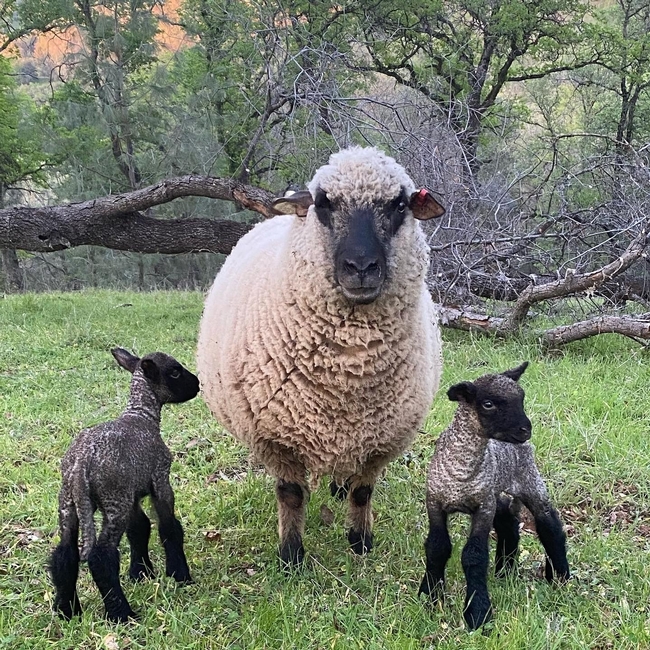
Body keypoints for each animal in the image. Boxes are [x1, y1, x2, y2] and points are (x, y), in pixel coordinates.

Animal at [49, 346, 197, 620]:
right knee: (101, 556)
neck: (142, 414)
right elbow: (169, 527)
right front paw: (179, 574)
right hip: (113, 499)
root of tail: (81, 464)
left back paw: (67, 610)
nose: (197, 384)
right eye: (174, 371)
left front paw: (141, 573)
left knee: (65, 553)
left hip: (69, 503)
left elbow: (139, 528)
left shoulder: (133, 493)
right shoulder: (160, 480)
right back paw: (121, 614)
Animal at [195, 147, 442, 568]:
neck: (350, 368)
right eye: (324, 203)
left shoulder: (381, 440)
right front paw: (291, 556)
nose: (361, 267)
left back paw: (339, 488)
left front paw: (360, 541)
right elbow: (291, 495)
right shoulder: (275, 438)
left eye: (399, 204)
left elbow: (363, 492)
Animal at [416, 360, 568, 628]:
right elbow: (436, 547)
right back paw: (504, 572)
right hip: (497, 494)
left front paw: (477, 613)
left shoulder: (483, 507)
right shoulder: (435, 502)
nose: (525, 430)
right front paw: (430, 596)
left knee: (549, 525)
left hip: (529, 481)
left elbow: (474, 556)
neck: (462, 471)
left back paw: (560, 576)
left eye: (522, 398)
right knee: (509, 526)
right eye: (488, 404)